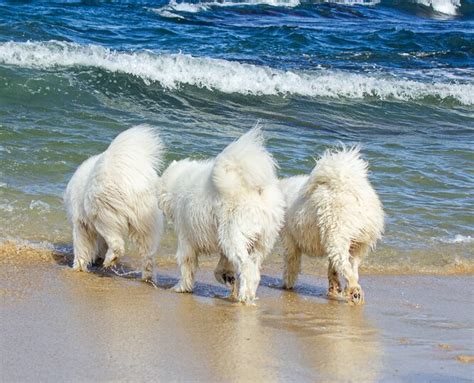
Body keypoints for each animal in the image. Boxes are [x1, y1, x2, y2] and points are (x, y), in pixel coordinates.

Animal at [64, 126, 165, 280]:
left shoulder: (81, 224)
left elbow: (81, 249)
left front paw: (78, 267)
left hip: (104, 216)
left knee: (117, 244)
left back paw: (110, 260)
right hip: (146, 223)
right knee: (148, 255)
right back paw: (147, 278)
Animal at [159, 126, 286, 304]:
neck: (177, 183)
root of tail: (258, 191)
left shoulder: (186, 236)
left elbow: (186, 263)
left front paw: (181, 287)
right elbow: (223, 264)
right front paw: (226, 276)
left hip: (232, 234)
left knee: (246, 267)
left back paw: (243, 297)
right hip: (261, 241)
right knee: (254, 270)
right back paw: (248, 294)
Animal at [280, 146, 384, 304]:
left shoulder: (290, 241)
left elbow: (290, 267)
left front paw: (287, 286)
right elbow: (332, 270)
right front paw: (334, 288)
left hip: (337, 236)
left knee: (346, 268)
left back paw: (354, 291)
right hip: (358, 243)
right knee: (352, 268)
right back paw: (350, 291)